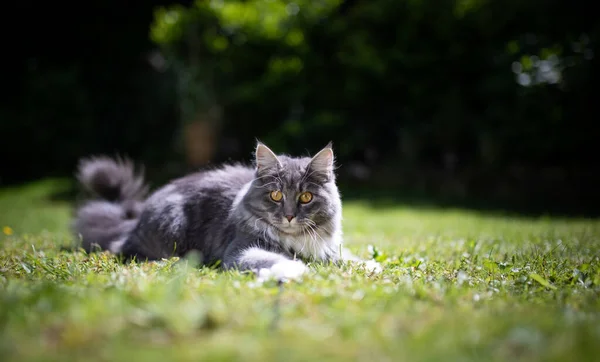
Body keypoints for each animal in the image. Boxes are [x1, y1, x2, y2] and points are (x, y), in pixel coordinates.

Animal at [72, 141, 378, 280]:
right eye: (276, 195)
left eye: (305, 197)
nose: (290, 216)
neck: (295, 241)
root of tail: (134, 220)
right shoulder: (241, 251)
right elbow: (275, 260)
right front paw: (295, 269)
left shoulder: (327, 249)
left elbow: (347, 257)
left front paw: (370, 265)